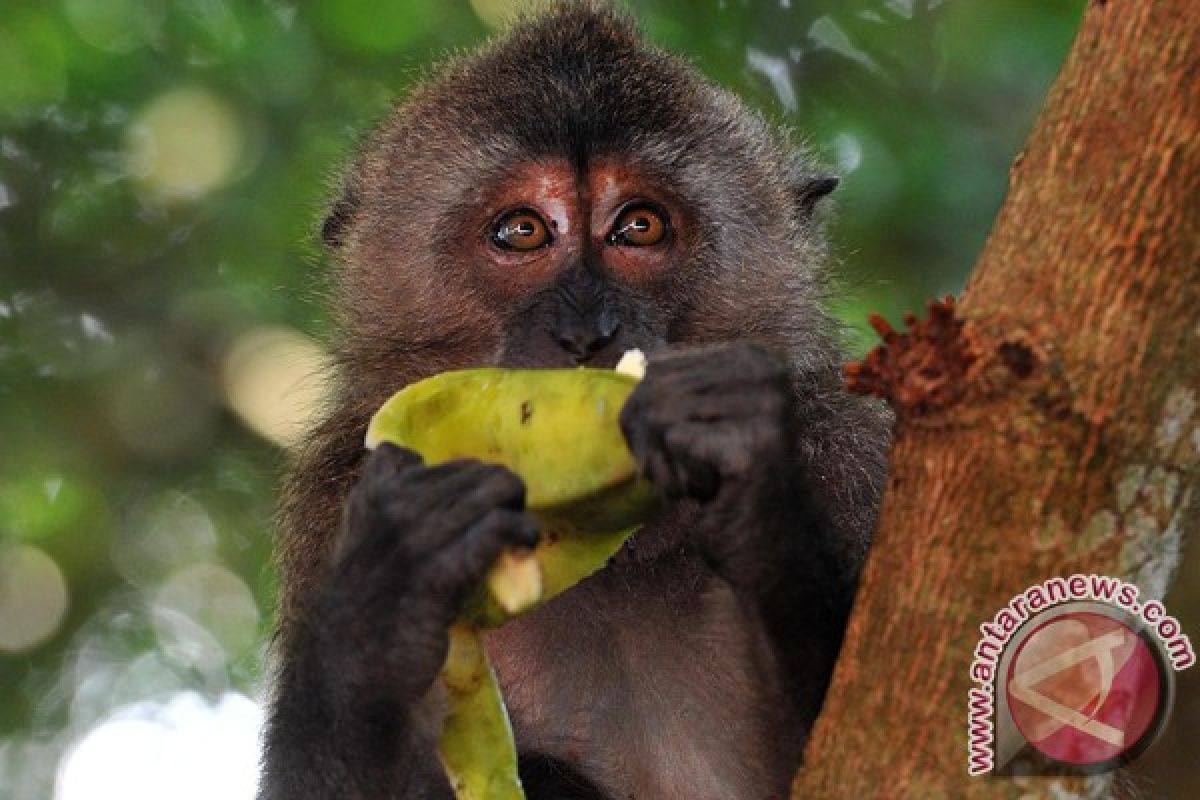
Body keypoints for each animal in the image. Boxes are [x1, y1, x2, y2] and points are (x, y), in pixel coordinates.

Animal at [258, 6, 888, 800]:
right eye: (523, 230)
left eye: (639, 226)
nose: (586, 330)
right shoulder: (337, 490)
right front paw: (383, 589)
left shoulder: (848, 450)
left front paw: (751, 481)